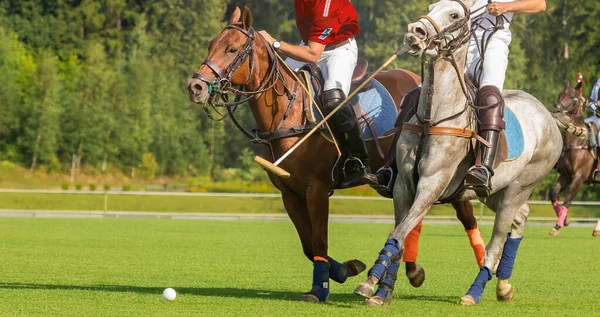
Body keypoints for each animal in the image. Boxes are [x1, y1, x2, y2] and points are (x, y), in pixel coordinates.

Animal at [185, 4, 480, 302]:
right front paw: (345, 269)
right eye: (211, 44)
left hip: (441, 168)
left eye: (232, 49)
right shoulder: (289, 192)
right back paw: (414, 271)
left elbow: (319, 241)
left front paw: (320, 289)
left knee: (461, 214)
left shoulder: (316, 188)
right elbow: (308, 244)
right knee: (413, 217)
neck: (289, 113)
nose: (195, 87)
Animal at [352, 0, 564, 304]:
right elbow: (400, 233)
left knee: (496, 242)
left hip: (520, 186)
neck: (434, 117)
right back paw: (504, 287)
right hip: (494, 191)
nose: (415, 31)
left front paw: (370, 282)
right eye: (431, 7)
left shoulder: (432, 184)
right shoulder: (403, 184)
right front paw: (383, 290)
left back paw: (474, 292)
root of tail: (549, 117)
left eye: (454, 15)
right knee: (521, 217)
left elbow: (400, 231)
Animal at [552, 81, 596, 235]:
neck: (577, 142)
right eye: (560, 94)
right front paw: (565, 220)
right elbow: (553, 194)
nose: (555, 111)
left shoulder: (579, 177)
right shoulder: (565, 176)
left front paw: (557, 226)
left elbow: (568, 199)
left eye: (572, 97)